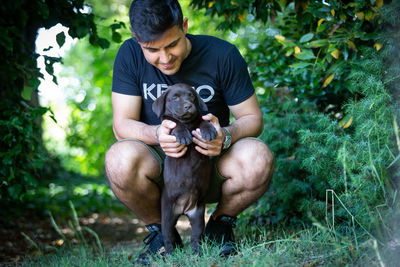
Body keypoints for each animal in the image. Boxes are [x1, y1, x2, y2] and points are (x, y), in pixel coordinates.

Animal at [152, 82, 216, 254]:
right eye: (175, 98)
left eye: (191, 96)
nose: (188, 106)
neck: (187, 122)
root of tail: (183, 209)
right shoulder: (169, 124)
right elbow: (176, 125)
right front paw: (183, 135)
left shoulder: (199, 119)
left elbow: (203, 121)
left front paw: (210, 131)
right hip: (167, 216)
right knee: (168, 237)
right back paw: (169, 254)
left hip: (198, 215)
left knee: (195, 237)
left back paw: (197, 253)